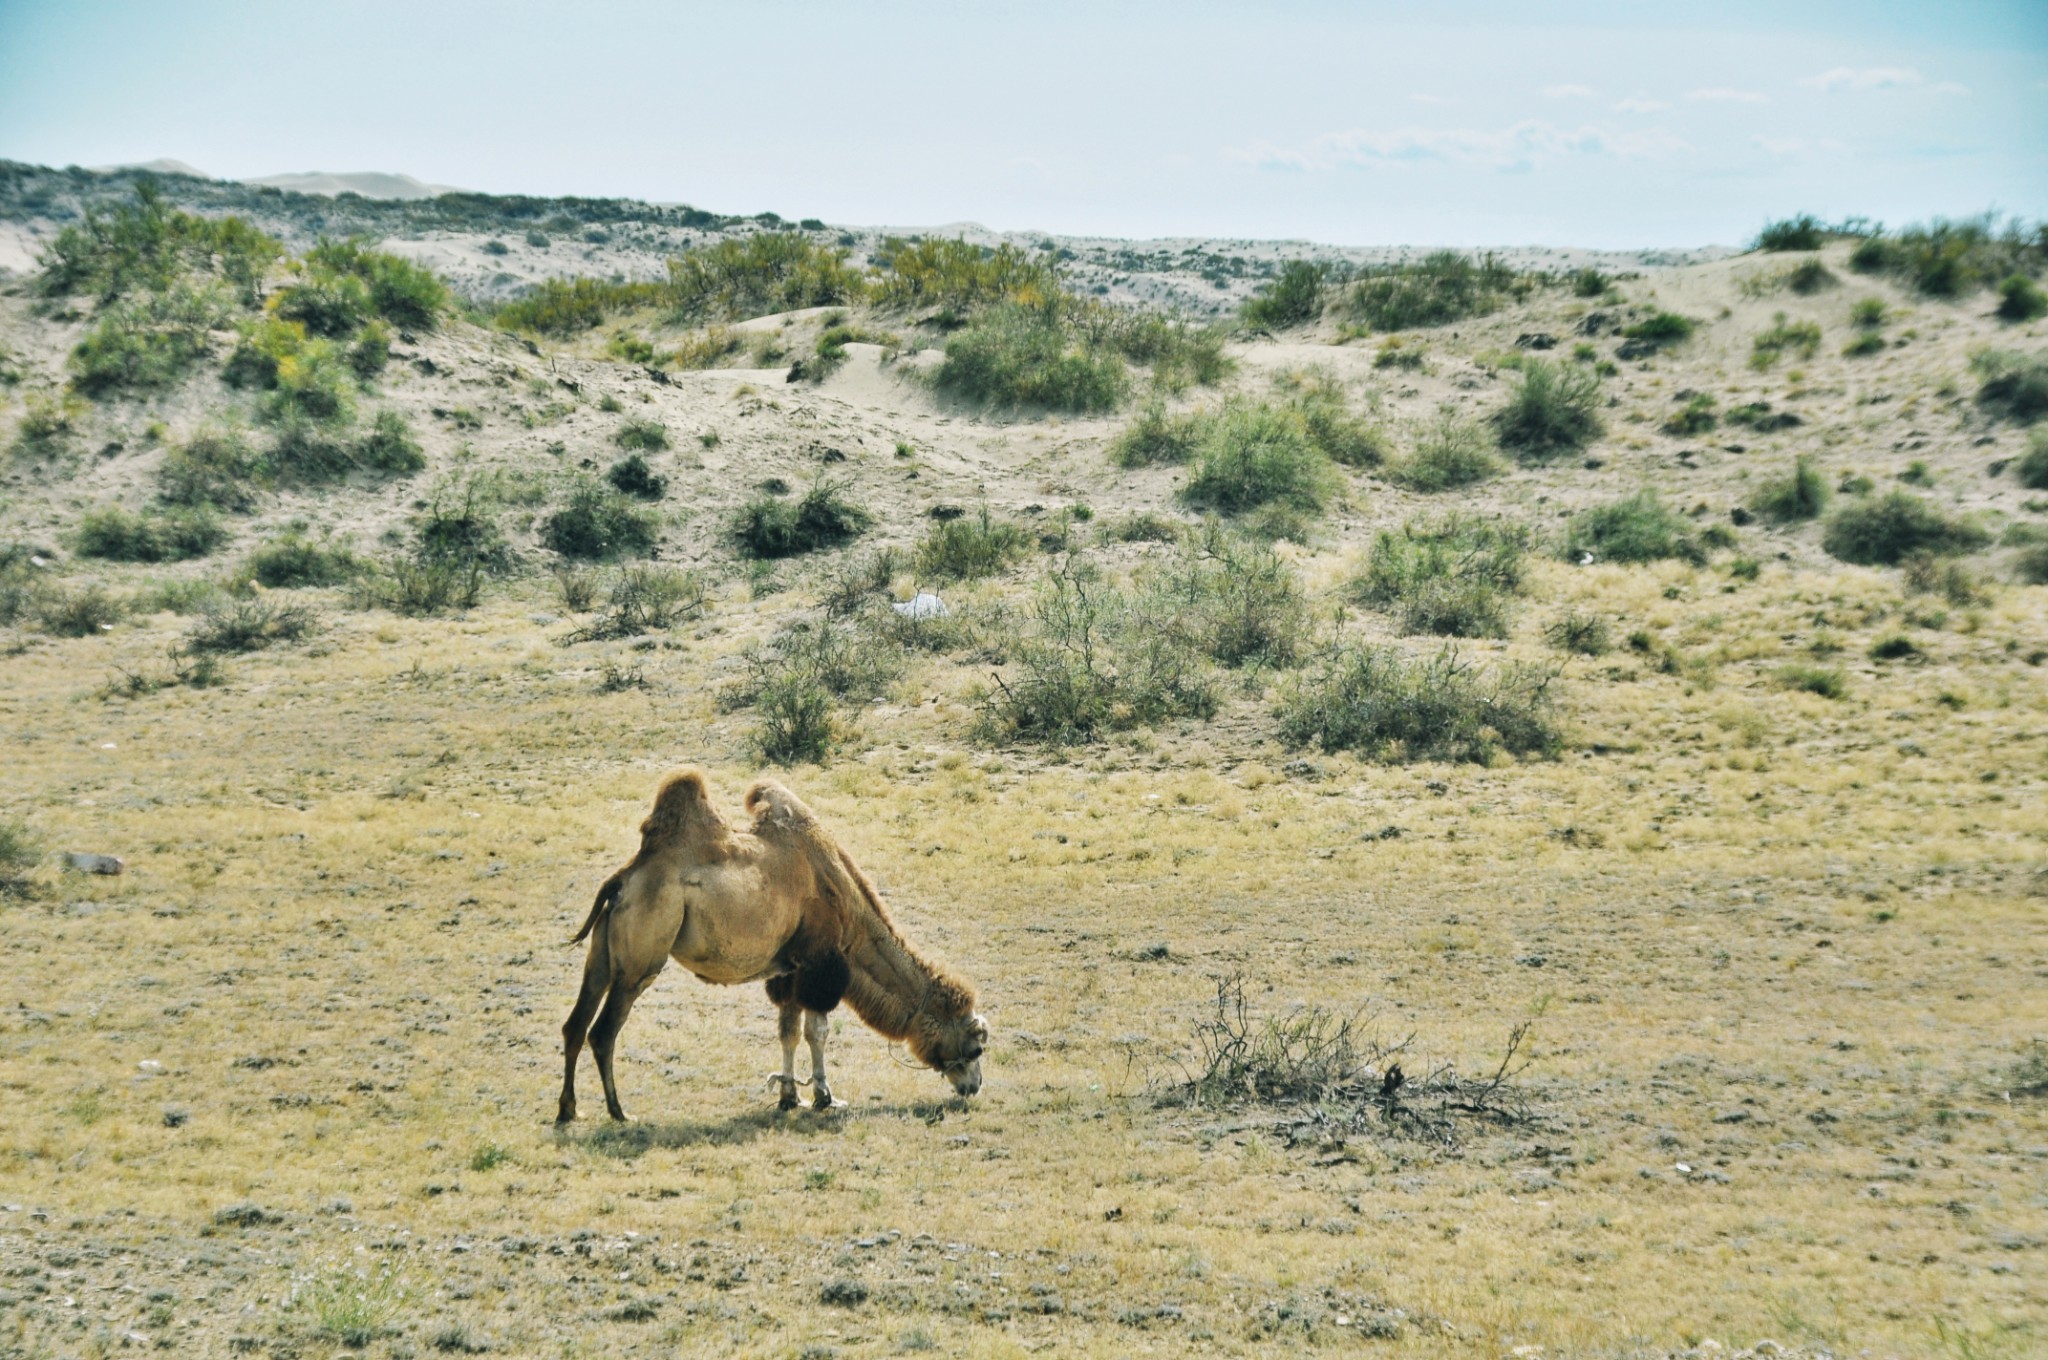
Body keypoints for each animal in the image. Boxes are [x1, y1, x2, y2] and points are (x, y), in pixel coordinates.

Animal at [552, 770, 983, 1122]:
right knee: (603, 1032)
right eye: (976, 1047)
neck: (852, 915)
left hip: (603, 955)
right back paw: (619, 1113)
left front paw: (790, 1096)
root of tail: (622, 880)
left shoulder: (789, 970)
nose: (974, 1086)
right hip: (641, 960)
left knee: (575, 1024)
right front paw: (825, 1097)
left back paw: (569, 1110)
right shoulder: (819, 966)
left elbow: (788, 1032)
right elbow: (817, 1032)